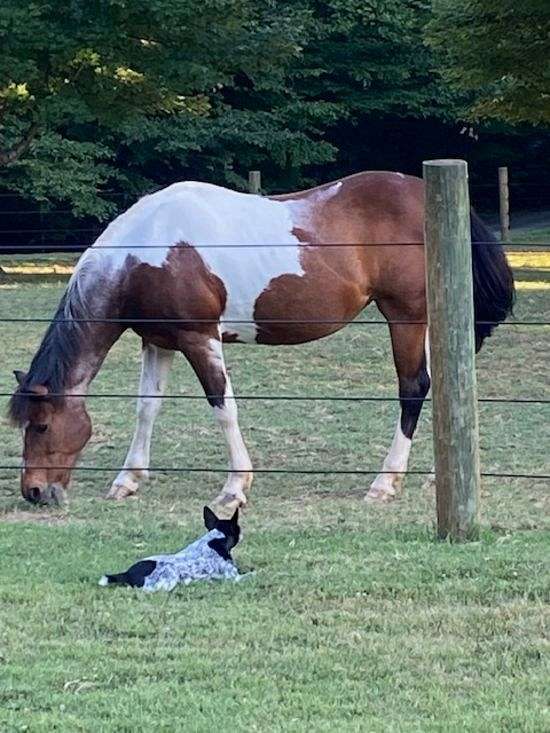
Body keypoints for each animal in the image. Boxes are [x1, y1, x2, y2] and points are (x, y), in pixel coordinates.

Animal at [8, 170, 516, 508]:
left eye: (42, 426)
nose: (33, 491)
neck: (145, 250)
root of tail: (423, 194)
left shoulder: (199, 339)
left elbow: (223, 406)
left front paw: (235, 488)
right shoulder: (159, 341)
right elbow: (146, 408)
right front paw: (128, 479)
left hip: (405, 317)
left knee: (412, 389)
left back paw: (384, 482)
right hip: (428, 321)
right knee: (436, 387)